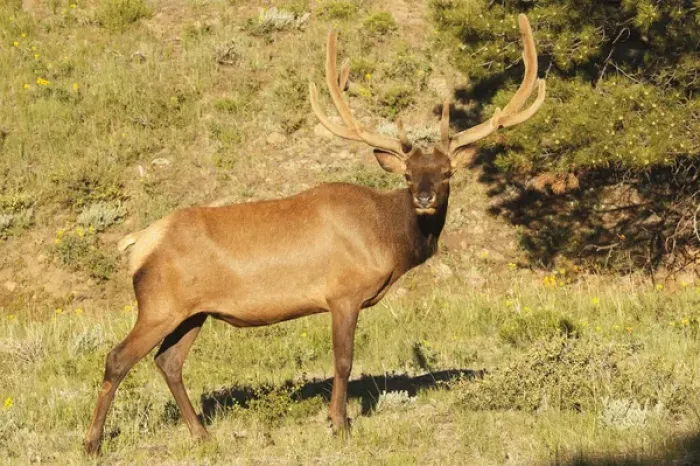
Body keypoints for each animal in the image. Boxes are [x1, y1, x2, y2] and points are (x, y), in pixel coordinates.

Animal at [84, 14, 545, 456]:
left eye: (447, 173)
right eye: (409, 174)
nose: (426, 197)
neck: (386, 237)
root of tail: (137, 244)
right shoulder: (342, 293)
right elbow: (343, 360)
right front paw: (339, 424)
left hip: (192, 312)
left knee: (169, 362)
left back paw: (201, 435)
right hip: (159, 305)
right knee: (117, 358)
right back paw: (93, 443)